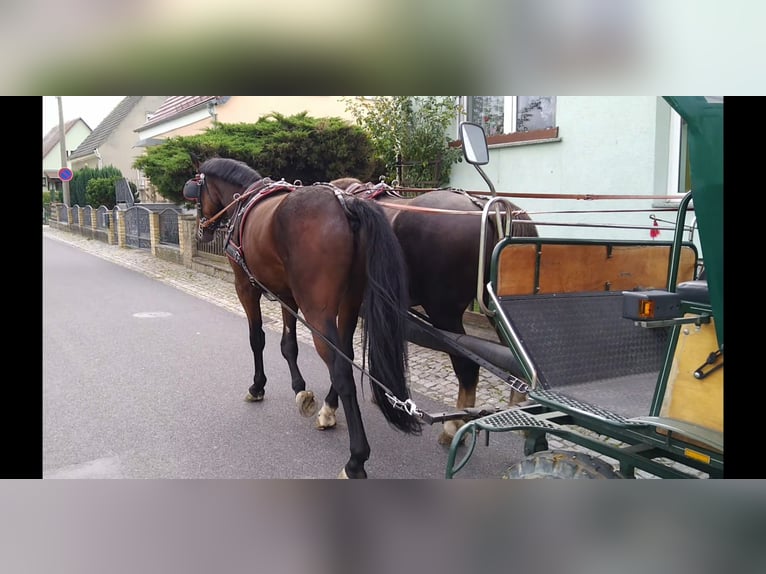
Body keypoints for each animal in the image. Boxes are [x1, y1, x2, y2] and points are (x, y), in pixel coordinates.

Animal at [183, 155, 424, 480]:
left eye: (196, 192)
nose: (202, 230)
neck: (245, 198)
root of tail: (347, 206)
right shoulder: (287, 295)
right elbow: (288, 345)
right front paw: (300, 390)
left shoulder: (246, 287)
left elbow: (257, 338)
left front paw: (257, 386)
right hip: (349, 303)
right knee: (345, 353)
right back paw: (328, 410)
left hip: (318, 311)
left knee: (340, 369)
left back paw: (356, 459)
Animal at [334, 178, 540, 448]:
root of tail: (488, 210)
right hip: (497, 312)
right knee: (519, 361)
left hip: (445, 314)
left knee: (467, 367)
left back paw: (454, 427)